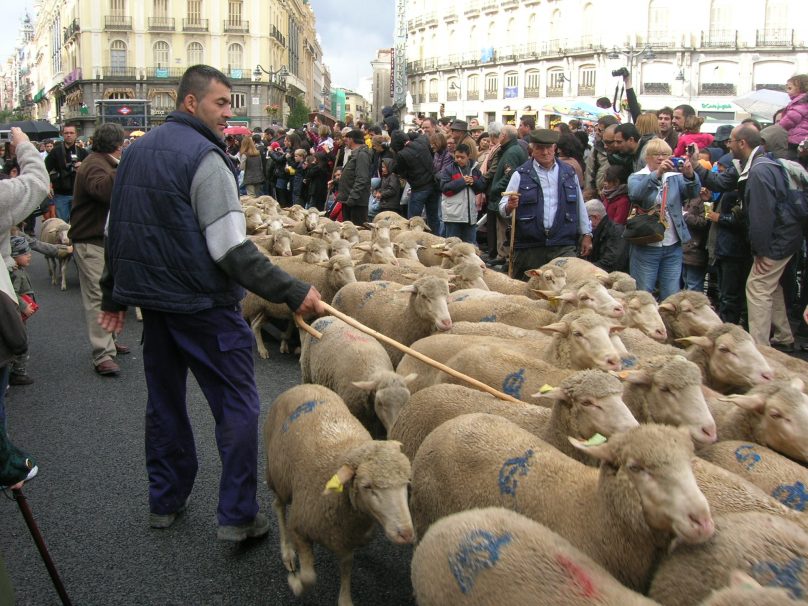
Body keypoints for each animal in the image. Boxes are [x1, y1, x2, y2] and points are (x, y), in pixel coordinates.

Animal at [266, 384, 414, 606]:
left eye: (407, 483)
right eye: (367, 486)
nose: (406, 533)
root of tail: (303, 386)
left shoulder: (345, 538)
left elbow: (346, 567)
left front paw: (345, 599)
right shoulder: (299, 527)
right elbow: (309, 577)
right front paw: (295, 584)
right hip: (279, 476)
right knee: (278, 506)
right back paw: (288, 553)